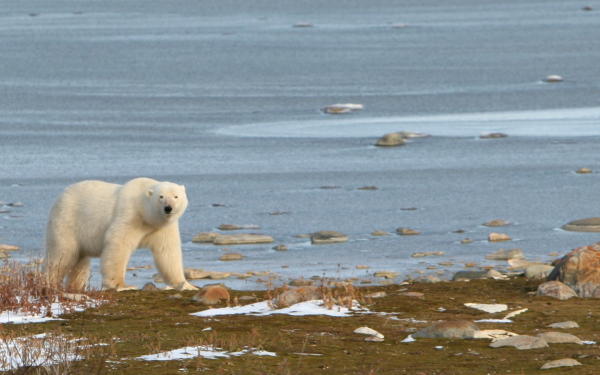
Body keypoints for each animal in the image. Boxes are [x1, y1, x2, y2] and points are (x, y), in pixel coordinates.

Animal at [45, 178, 199, 292]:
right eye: (161, 197)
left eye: (176, 196)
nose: (168, 208)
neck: (145, 213)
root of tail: (61, 195)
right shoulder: (130, 215)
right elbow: (118, 243)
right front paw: (122, 285)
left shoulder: (162, 228)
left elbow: (168, 252)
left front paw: (186, 285)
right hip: (67, 220)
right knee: (62, 254)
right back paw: (49, 283)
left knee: (80, 261)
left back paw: (75, 287)